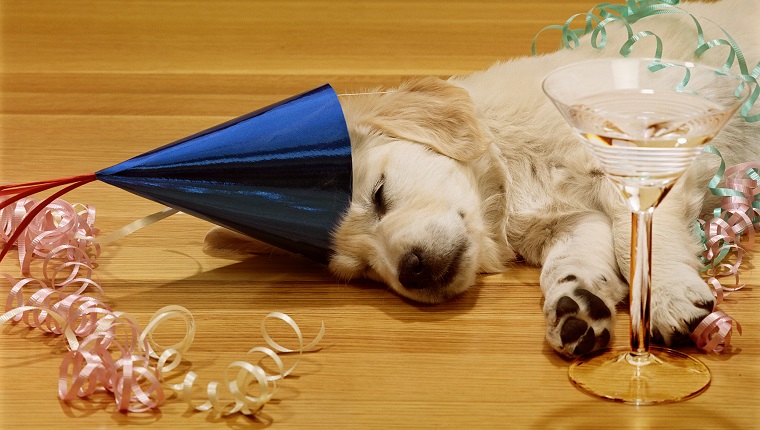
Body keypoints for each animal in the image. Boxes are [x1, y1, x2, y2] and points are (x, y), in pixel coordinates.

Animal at [205, 0, 756, 358]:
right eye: (360, 273)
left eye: (380, 195)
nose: (411, 271)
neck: (511, 174)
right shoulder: (565, 222)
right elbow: (576, 254)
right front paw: (576, 303)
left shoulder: (650, 154)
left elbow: (634, 235)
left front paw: (667, 296)